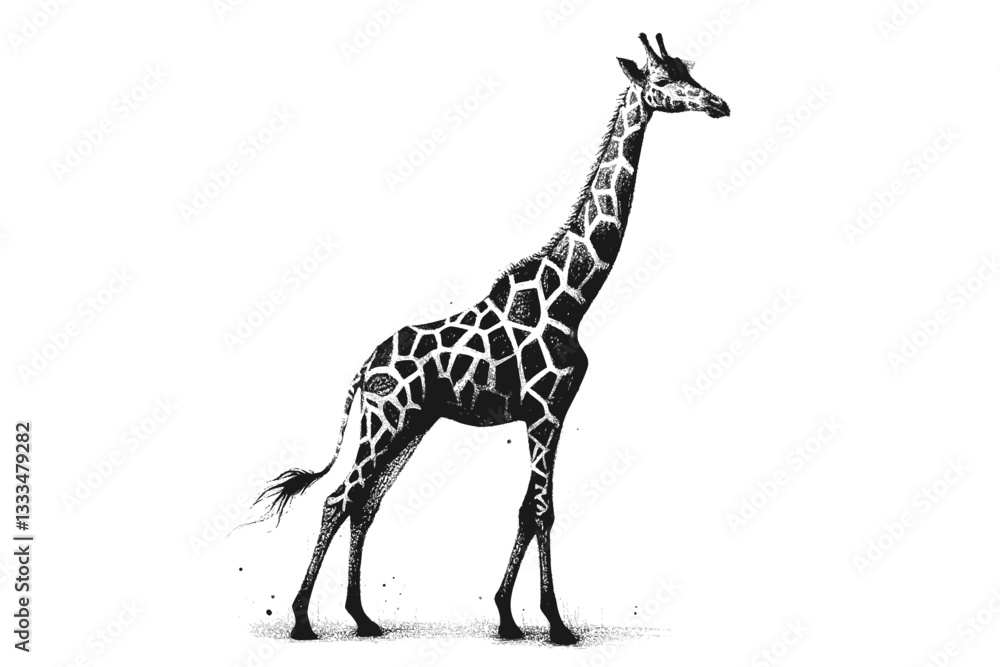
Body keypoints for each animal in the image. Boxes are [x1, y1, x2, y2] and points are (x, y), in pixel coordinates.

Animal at [254, 33, 729, 645]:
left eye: (688, 70)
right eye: (664, 81)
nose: (719, 104)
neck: (572, 297)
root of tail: (362, 369)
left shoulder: (550, 412)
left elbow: (529, 508)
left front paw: (508, 616)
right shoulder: (546, 411)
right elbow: (542, 510)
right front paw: (554, 624)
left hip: (412, 424)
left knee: (366, 504)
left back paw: (362, 617)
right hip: (386, 422)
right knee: (340, 498)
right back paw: (302, 620)